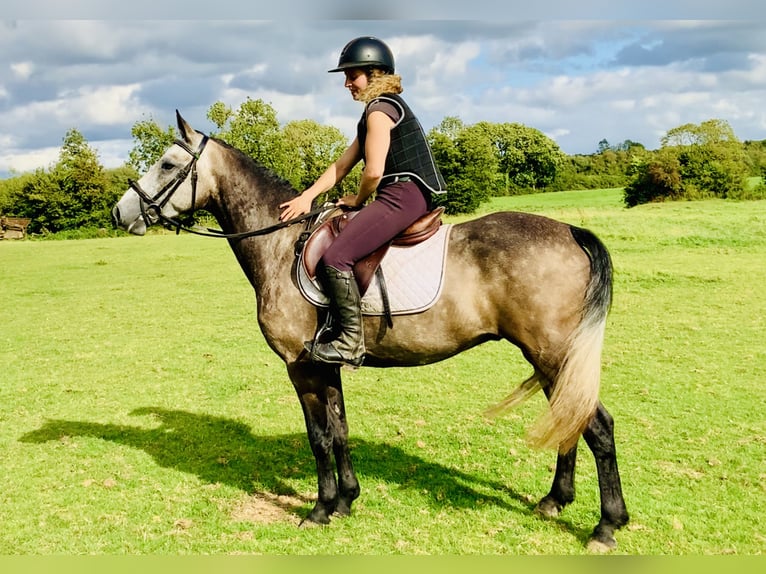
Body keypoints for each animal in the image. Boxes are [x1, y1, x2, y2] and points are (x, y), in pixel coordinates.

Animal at [112, 112, 632, 552]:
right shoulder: (326, 365)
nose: (121, 213)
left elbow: (319, 437)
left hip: (551, 354)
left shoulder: (301, 368)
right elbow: (340, 430)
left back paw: (606, 526)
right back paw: (554, 501)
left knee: (598, 427)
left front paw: (320, 509)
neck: (280, 243)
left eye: (167, 164)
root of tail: (570, 231)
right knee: (570, 420)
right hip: (546, 358)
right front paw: (346, 501)